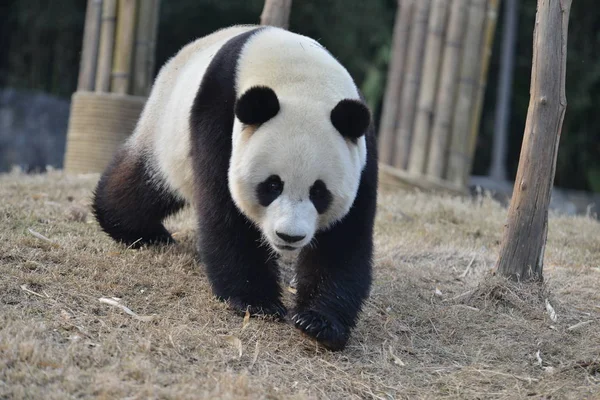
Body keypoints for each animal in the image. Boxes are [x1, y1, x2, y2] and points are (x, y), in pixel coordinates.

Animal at [91, 25, 378, 350]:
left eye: (319, 192)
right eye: (272, 185)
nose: (289, 236)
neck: (301, 77)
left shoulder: (362, 152)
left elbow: (343, 240)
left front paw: (318, 322)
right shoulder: (219, 112)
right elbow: (226, 211)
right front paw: (258, 301)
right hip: (165, 127)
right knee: (145, 186)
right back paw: (137, 230)